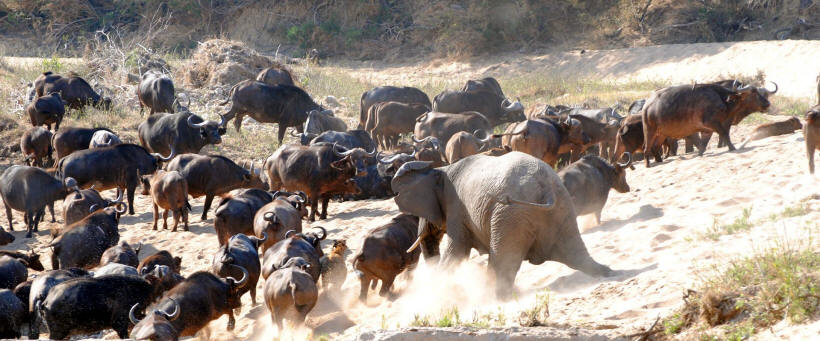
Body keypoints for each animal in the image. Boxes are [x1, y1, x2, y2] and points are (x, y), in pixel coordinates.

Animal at [392, 150, 616, 296]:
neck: (441, 169)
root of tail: (546, 189)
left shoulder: (457, 208)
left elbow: (458, 250)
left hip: (510, 216)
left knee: (503, 259)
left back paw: (493, 295)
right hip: (562, 208)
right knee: (574, 251)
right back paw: (607, 272)